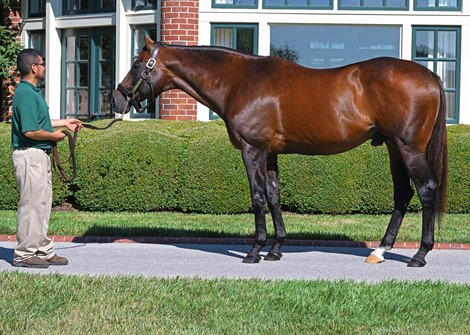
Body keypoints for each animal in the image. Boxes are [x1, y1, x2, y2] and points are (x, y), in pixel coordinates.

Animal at [113, 36, 448, 268]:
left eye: (137, 65)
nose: (117, 99)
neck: (239, 81)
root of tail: (430, 76)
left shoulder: (252, 150)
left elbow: (258, 197)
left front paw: (254, 250)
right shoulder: (270, 154)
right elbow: (274, 196)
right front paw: (275, 249)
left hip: (409, 148)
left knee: (426, 190)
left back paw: (419, 254)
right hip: (393, 147)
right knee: (403, 194)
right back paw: (380, 251)